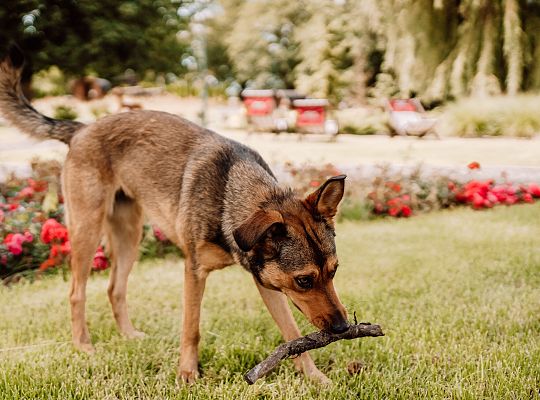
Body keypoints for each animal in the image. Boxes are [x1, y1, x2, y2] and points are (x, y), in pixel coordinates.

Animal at [0, 47, 350, 384]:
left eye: (334, 271)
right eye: (304, 280)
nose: (344, 328)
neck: (230, 195)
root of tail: (82, 129)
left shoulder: (265, 280)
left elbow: (292, 334)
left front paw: (316, 378)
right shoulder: (194, 271)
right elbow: (191, 328)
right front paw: (187, 373)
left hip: (129, 236)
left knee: (115, 289)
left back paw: (129, 336)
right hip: (87, 230)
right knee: (76, 292)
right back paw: (84, 345)